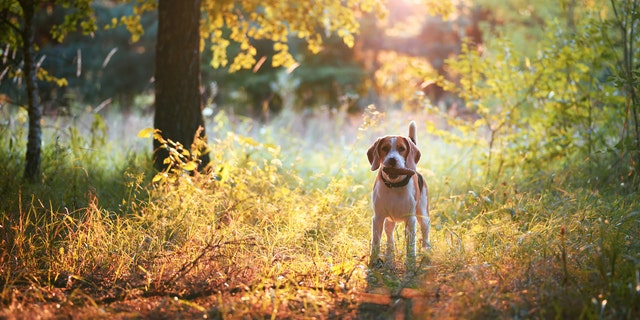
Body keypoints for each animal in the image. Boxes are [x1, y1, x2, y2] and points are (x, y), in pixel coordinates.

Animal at [368, 121, 428, 266]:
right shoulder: (377, 218)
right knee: (389, 236)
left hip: (423, 215)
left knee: (425, 233)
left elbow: (410, 245)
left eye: (402, 148)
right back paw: (389, 255)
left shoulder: (410, 219)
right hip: (388, 221)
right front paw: (373, 261)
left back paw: (427, 252)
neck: (394, 186)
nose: (392, 160)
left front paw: (411, 263)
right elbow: (376, 242)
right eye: (385, 148)